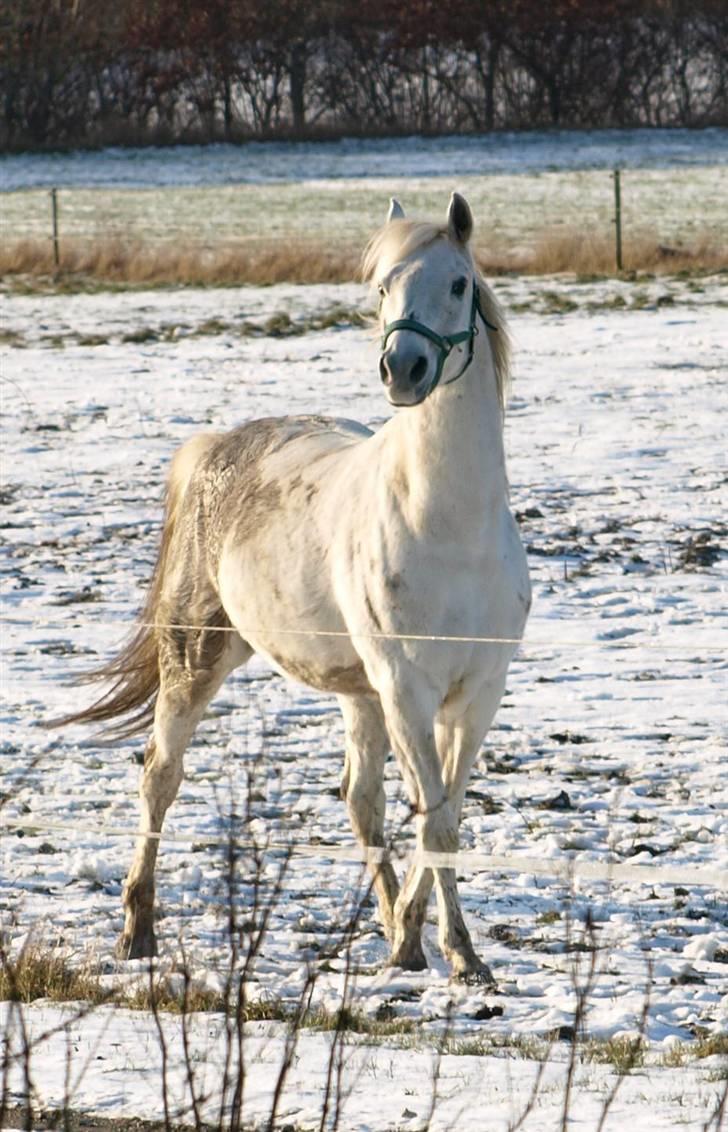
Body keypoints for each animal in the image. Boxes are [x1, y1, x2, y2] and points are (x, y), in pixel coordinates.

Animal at [63, 194, 529, 982]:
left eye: (459, 283)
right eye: (383, 287)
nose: (403, 368)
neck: (449, 526)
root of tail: (215, 448)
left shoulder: (479, 692)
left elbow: (444, 816)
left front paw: (432, 946)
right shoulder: (406, 689)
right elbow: (434, 815)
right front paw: (448, 950)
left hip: (356, 692)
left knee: (361, 800)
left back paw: (389, 923)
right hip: (197, 660)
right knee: (160, 775)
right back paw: (137, 931)